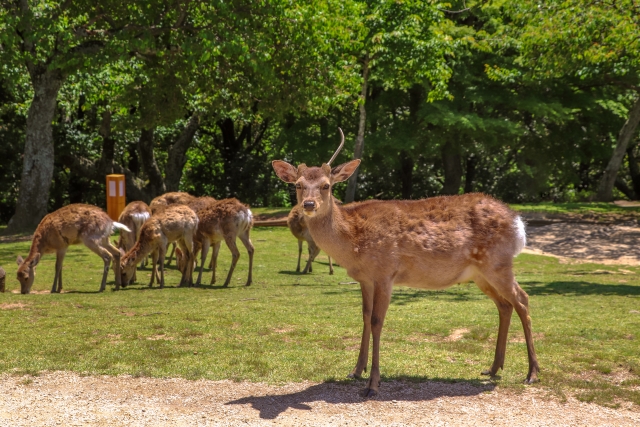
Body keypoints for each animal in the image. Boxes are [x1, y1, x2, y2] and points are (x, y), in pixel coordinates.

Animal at [272, 130, 540, 398]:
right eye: (298, 185)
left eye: (326, 185)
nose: (308, 205)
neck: (353, 243)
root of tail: (517, 222)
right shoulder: (365, 279)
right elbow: (364, 317)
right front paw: (356, 371)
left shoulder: (385, 272)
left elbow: (377, 321)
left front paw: (373, 384)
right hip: (480, 274)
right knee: (505, 305)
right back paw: (493, 368)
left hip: (498, 263)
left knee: (523, 299)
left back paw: (532, 373)